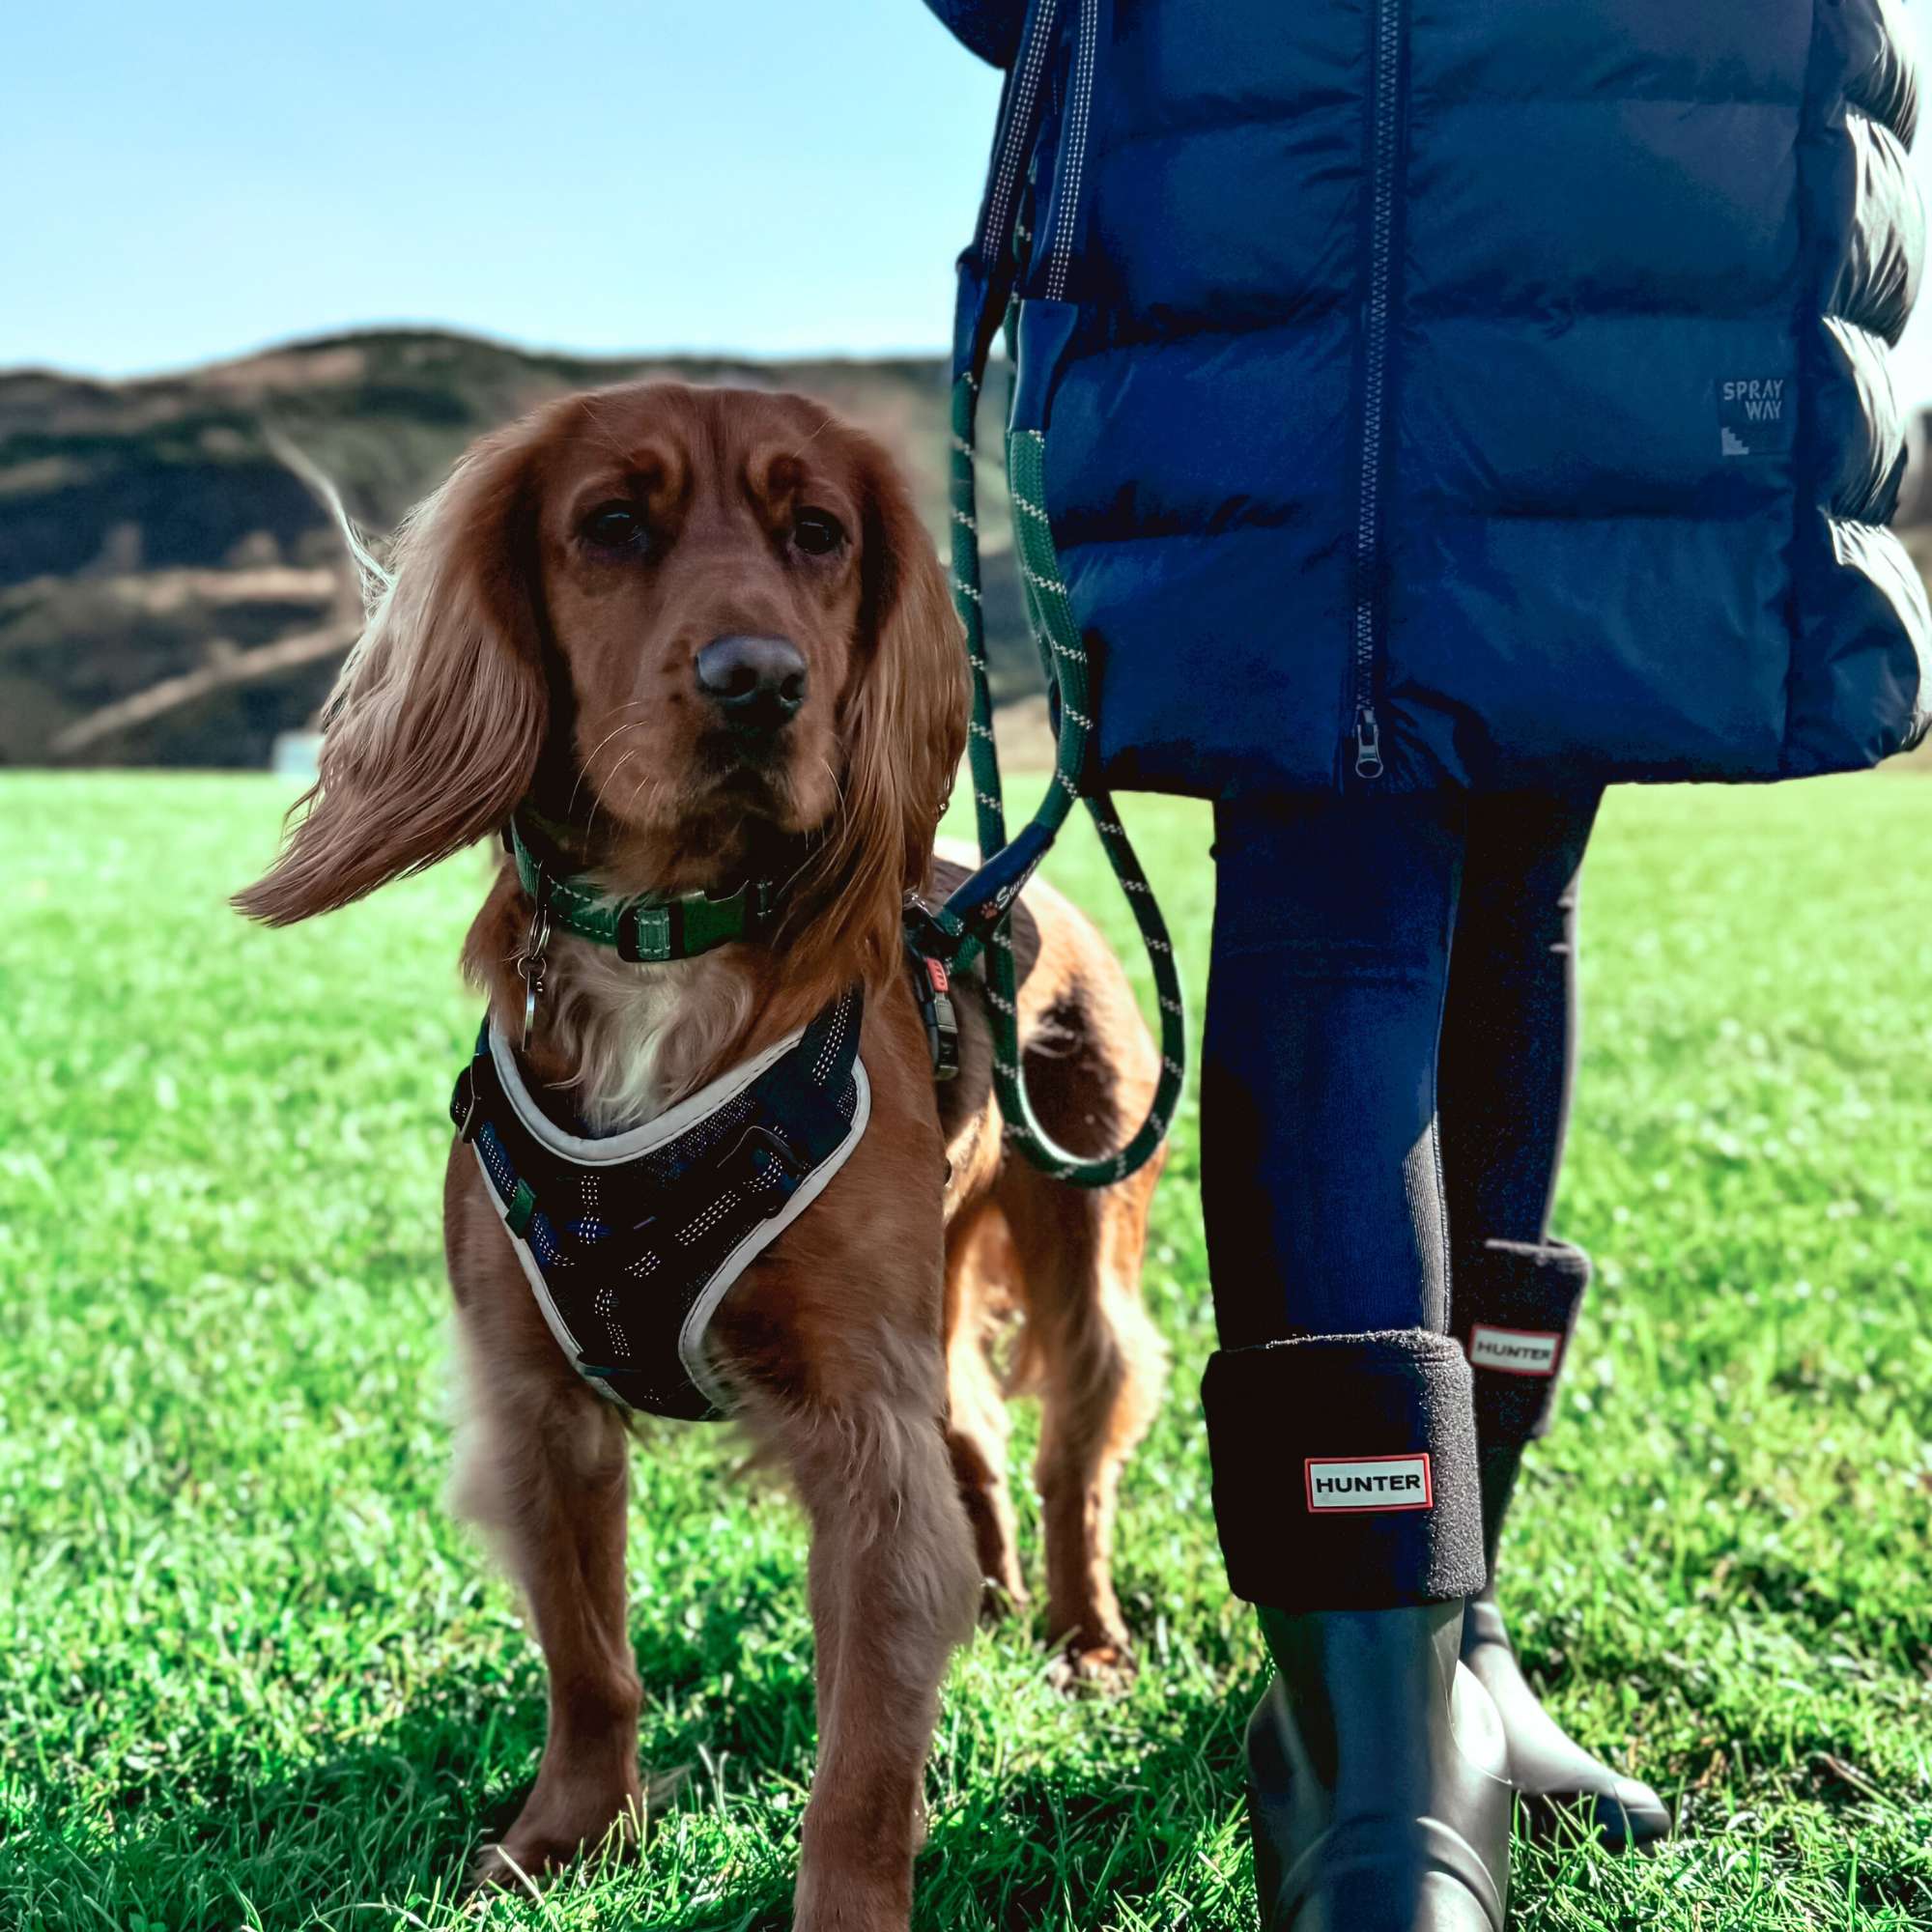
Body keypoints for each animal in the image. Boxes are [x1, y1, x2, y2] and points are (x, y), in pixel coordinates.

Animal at [238, 384, 1159, 1924]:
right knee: (974, 1433)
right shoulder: (540, 1403)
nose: (758, 682)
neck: (669, 939)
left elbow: (862, 1757)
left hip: (1082, 1239)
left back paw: (1081, 1636)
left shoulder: (858, 1425)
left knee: (1068, 1458)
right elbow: (588, 1664)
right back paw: (984, 1600)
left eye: (819, 534)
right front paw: (568, 1836)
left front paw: (847, 1904)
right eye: (613, 522)